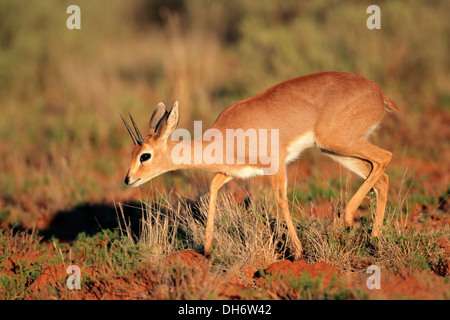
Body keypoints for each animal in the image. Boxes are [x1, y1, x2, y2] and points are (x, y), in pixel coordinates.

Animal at [122, 72, 398, 260]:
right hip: (334, 149)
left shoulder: (275, 165)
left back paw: (347, 220)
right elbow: (212, 188)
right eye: (134, 153)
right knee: (381, 178)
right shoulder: (232, 172)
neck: (225, 135)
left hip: (337, 142)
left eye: (144, 156)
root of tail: (379, 93)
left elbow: (281, 199)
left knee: (385, 157)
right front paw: (208, 249)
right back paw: (374, 240)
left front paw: (298, 253)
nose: (128, 179)